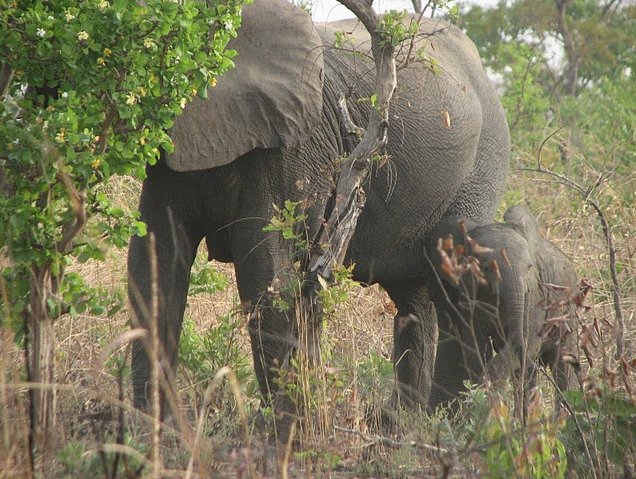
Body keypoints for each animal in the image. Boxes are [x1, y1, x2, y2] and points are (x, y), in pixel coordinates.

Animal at [126, 0, 510, 416]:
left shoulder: (288, 148)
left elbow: (265, 273)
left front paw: (281, 426)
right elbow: (153, 267)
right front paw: (153, 427)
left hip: (480, 168)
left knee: (456, 295)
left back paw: (444, 419)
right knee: (414, 298)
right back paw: (401, 420)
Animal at [428, 204, 580, 410]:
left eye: (529, 268)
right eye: (486, 268)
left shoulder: (534, 296)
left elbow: (528, 341)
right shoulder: (469, 295)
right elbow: (476, 346)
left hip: (567, 305)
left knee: (563, 363)